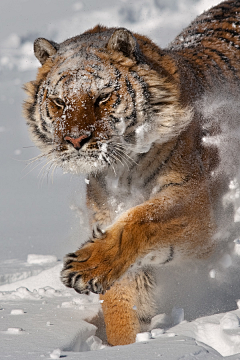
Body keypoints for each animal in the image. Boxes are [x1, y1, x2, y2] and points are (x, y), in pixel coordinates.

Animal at [23, 0, 240, 348]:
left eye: (102, 98)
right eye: (59, 102)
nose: (75, 139)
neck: (121, 170)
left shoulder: (200, 206)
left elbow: (142, 220)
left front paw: (87, 268)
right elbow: (122, 308)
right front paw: (125, 347)